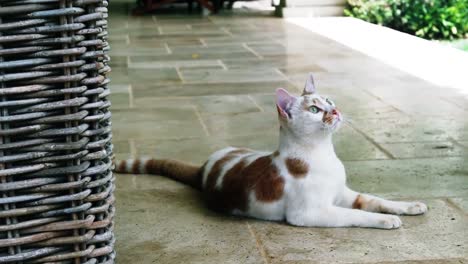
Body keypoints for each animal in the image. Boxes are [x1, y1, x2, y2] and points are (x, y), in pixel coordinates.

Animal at [113, 72, 428, 229]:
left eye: (328, 100)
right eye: (315, 110)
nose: (335, 111)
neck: (323, 153)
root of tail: (206, 166)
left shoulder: (344, 194)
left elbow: (375, 200)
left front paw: (408, 206)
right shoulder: (310, 213)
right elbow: (355, 216)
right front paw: (387, 220)